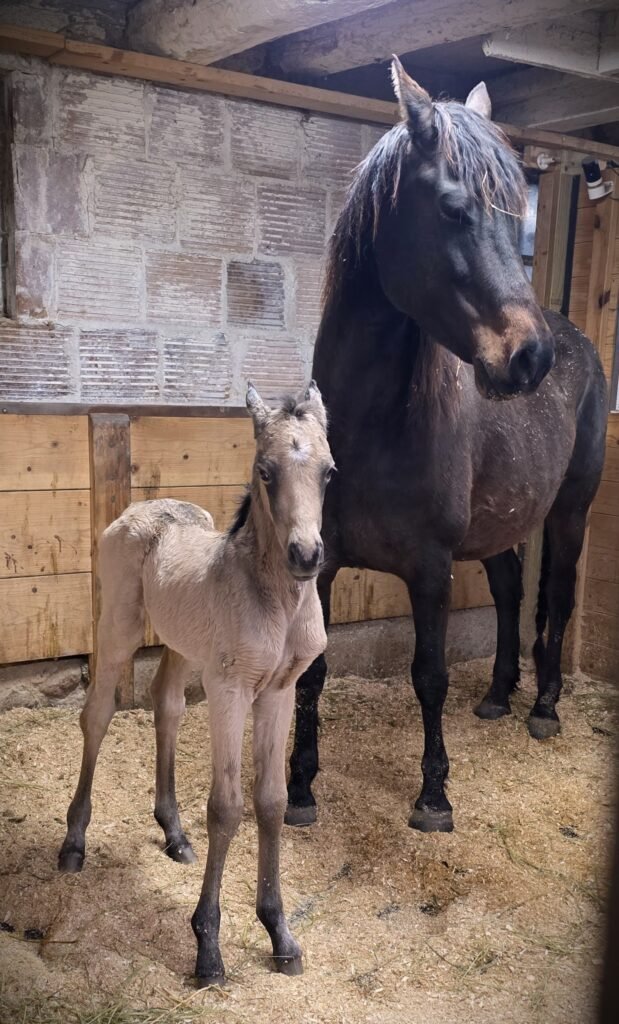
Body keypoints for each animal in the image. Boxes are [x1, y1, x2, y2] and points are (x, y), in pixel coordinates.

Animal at [58, 382, 334, 987]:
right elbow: (228, 807)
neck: (275, 601)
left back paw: (174, 833)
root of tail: (140, 507)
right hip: (118, 628)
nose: (306, 555)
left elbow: (272, 801)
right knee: (97, 715)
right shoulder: (230, 689)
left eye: (329, 471)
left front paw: (280, 935)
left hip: (182, 646)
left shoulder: (279, 692)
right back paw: (73, 843)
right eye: (265, 470)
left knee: (166, 705)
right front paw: (208, 948)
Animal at [284, 59, 608, 835]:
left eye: (515, 218)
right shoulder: (324, 562)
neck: (373, 427)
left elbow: (427, 676)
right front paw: (300, 786)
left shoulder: (429, 568)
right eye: (455, 211)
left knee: (554, 594)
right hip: (500, 526)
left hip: (570, 512)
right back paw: (495, 694)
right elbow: (314, 668)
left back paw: (543, 706)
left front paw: (433, 796)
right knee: (510, 587)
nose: (529, 358)